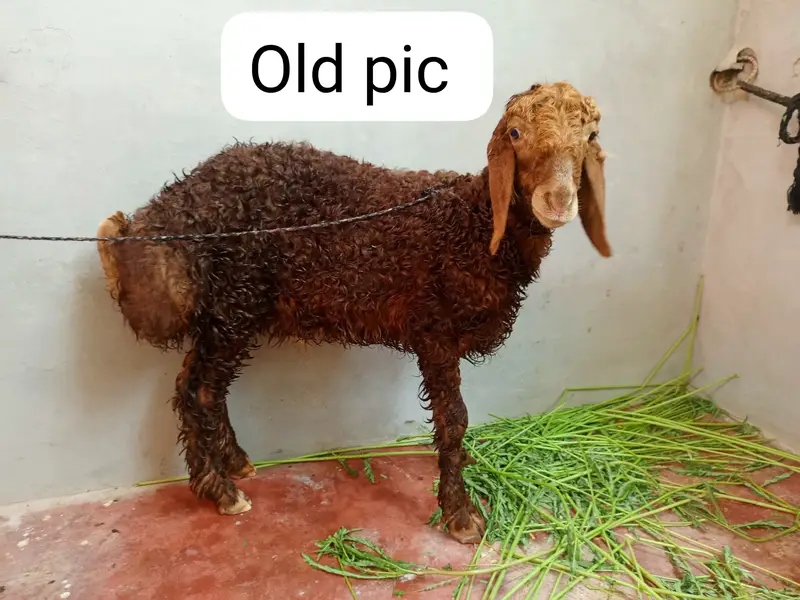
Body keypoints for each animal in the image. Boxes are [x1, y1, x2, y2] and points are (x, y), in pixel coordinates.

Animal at [96, 81, 611, 545]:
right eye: (516, 134)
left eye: (589, 137)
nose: (558, 200)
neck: (473, 223)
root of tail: (172, 211)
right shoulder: (435, 331)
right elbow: (454, 420)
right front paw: (461, 514)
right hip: (233, 302)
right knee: (199, 390)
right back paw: (219, 490)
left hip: (226, 312)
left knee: (198, 384)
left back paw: (233, 464)